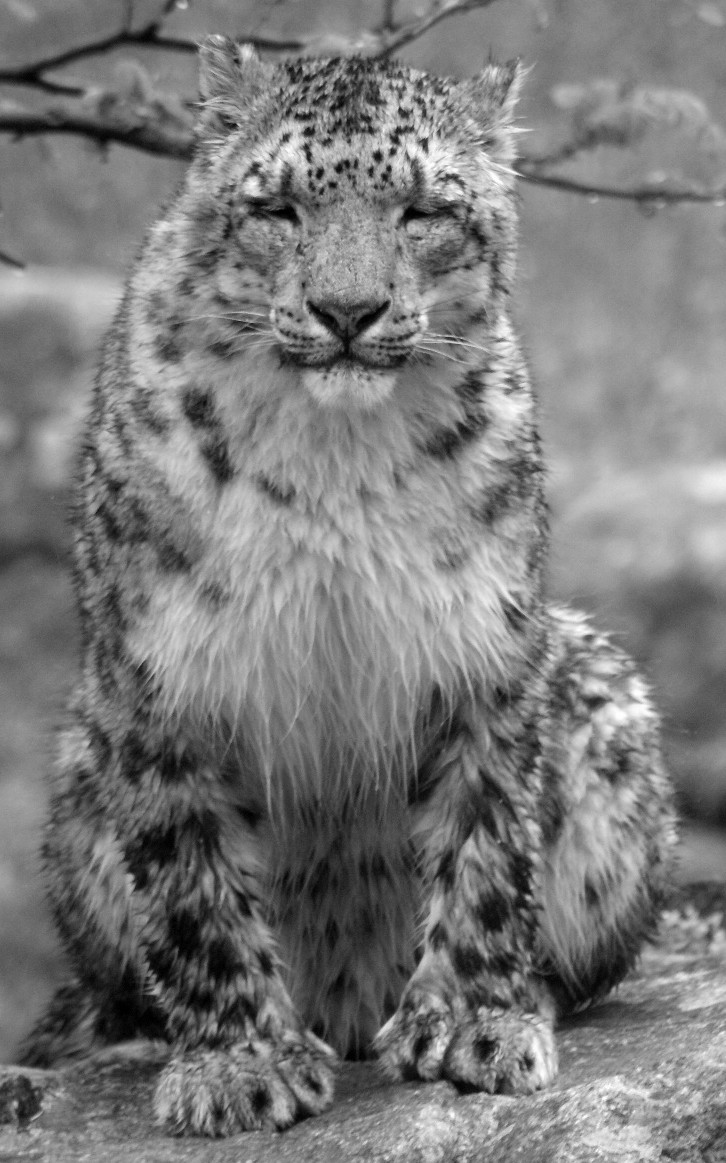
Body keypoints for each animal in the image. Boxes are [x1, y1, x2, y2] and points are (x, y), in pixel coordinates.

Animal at [19, 37, 677, 1137]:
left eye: (424, 208)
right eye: (279, 207)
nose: (346, 311)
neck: (334, 456)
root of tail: (347, 999)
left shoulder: (483, 652)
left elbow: (485, 843)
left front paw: (471, 1026)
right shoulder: (163, 679)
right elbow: (196, 881)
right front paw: (239, 1063)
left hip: (598, 698)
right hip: (81, 775)